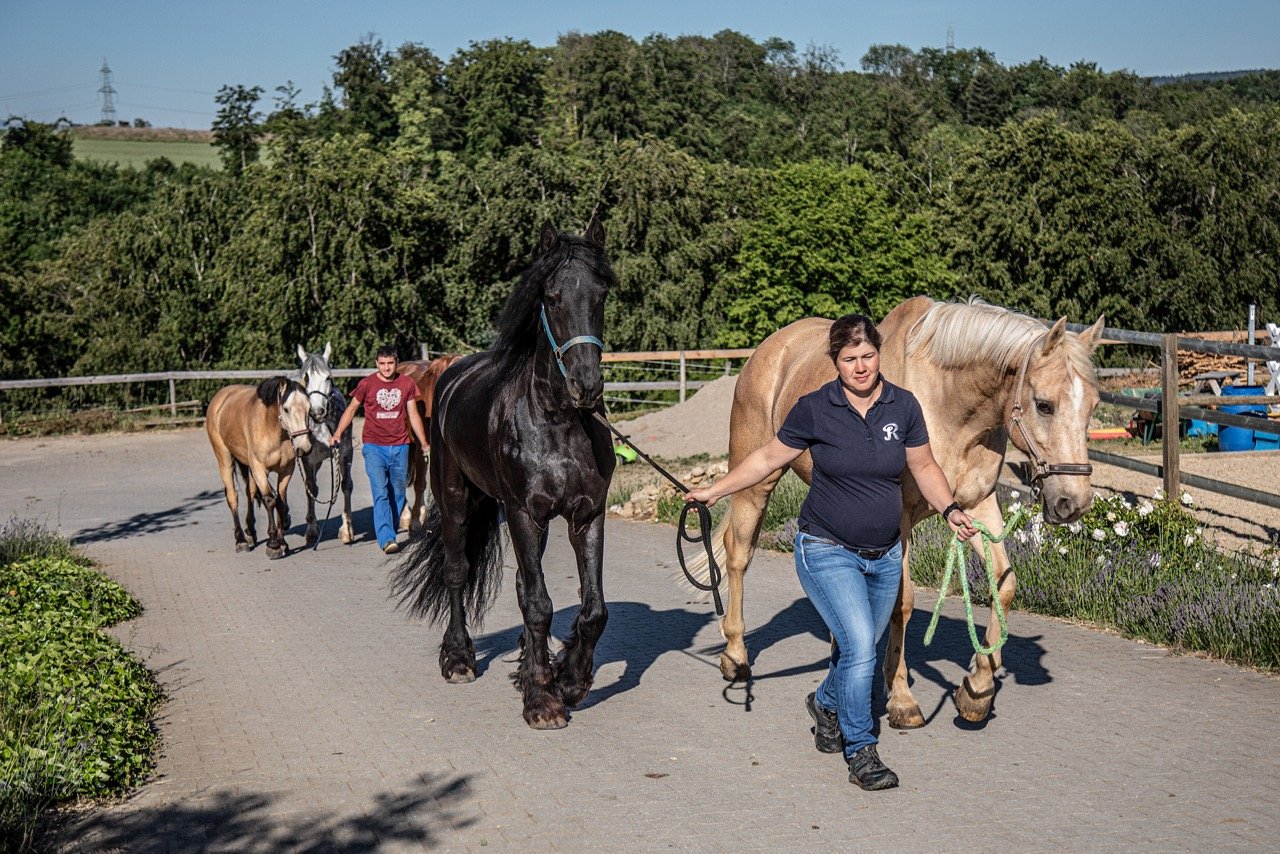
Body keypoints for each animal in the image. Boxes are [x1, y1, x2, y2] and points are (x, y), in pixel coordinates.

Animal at [206, 376, 314, 559]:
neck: (272, 428)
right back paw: (241, 540)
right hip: (225, 459)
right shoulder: (259, 468)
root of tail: (220, 397)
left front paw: (283, 541)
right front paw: (273, 545)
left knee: (250, 492)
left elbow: (280, 501)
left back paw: (250, 532)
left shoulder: (286, 469)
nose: (304, 448)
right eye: (286, 409)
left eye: (309, 407)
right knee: (233, 497)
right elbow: (270, 500)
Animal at [294, 343, 356, 546]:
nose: (317, 411)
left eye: (328, 377)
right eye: (305, 377)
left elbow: (346, 485)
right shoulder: (308, 458)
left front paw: (347, 530)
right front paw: (312, 530)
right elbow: (311, 488)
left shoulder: (345, 453)